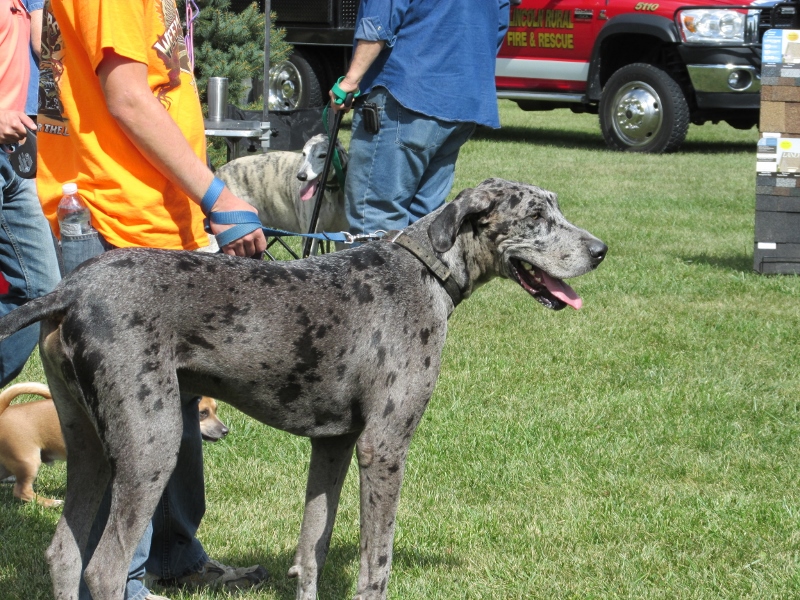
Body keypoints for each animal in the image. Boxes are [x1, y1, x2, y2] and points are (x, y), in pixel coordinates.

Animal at [0, 382, 227, 507]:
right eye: (202, 413)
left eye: (216, 410)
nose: (226, 431)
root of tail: (4, 411)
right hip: (29, 462)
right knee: (22, 492)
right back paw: (48, 502)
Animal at [215, 133, 349, 239]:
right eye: (304, 154)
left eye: (322, 155)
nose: (301, 176)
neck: (330, 192)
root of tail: (217, 172)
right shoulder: (311, 234)